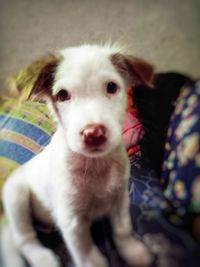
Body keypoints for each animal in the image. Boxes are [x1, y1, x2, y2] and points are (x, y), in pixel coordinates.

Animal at [1, 44, 153, 267]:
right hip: (16, 196)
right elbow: (86, 251)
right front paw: (95, 261)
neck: (96, 165)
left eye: (111, 87)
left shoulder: (120, 200)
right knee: (24, 238)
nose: (93, 134)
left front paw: (133, 252)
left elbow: (123, 230)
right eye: (62, 95)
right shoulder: (71, 220)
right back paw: (43, 258)